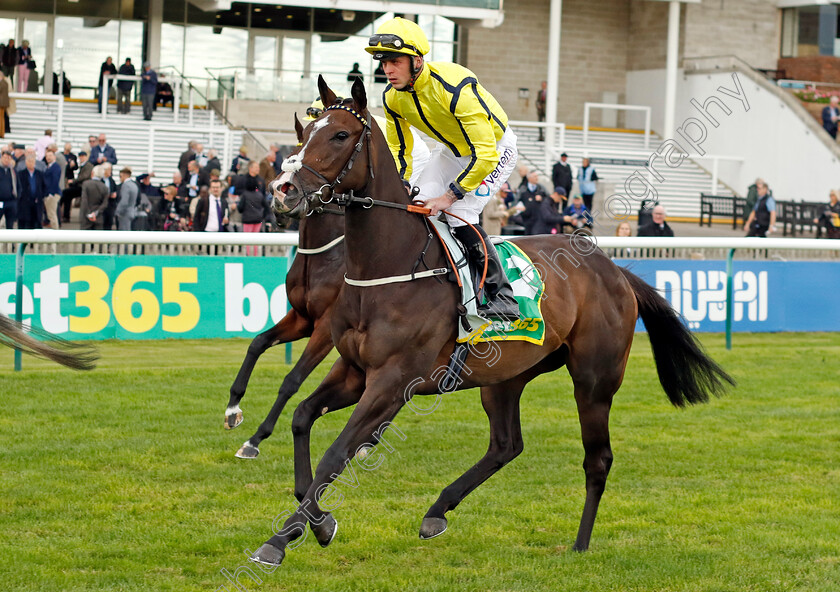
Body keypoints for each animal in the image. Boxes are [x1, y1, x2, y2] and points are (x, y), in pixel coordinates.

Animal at [251, 76, 736, 568]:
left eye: (339, 135)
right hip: (506, 375)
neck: (388, 267)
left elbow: (336, 453)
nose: (283, 189)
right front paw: (318, 521)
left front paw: (279, 540)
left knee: (597, 459)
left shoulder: (392, 379)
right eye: (303, 137)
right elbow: (302, 417)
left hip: (594, 381)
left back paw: (580, 543)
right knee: (506, 444)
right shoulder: (353, 369)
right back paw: (437, 511)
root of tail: (614, 269)